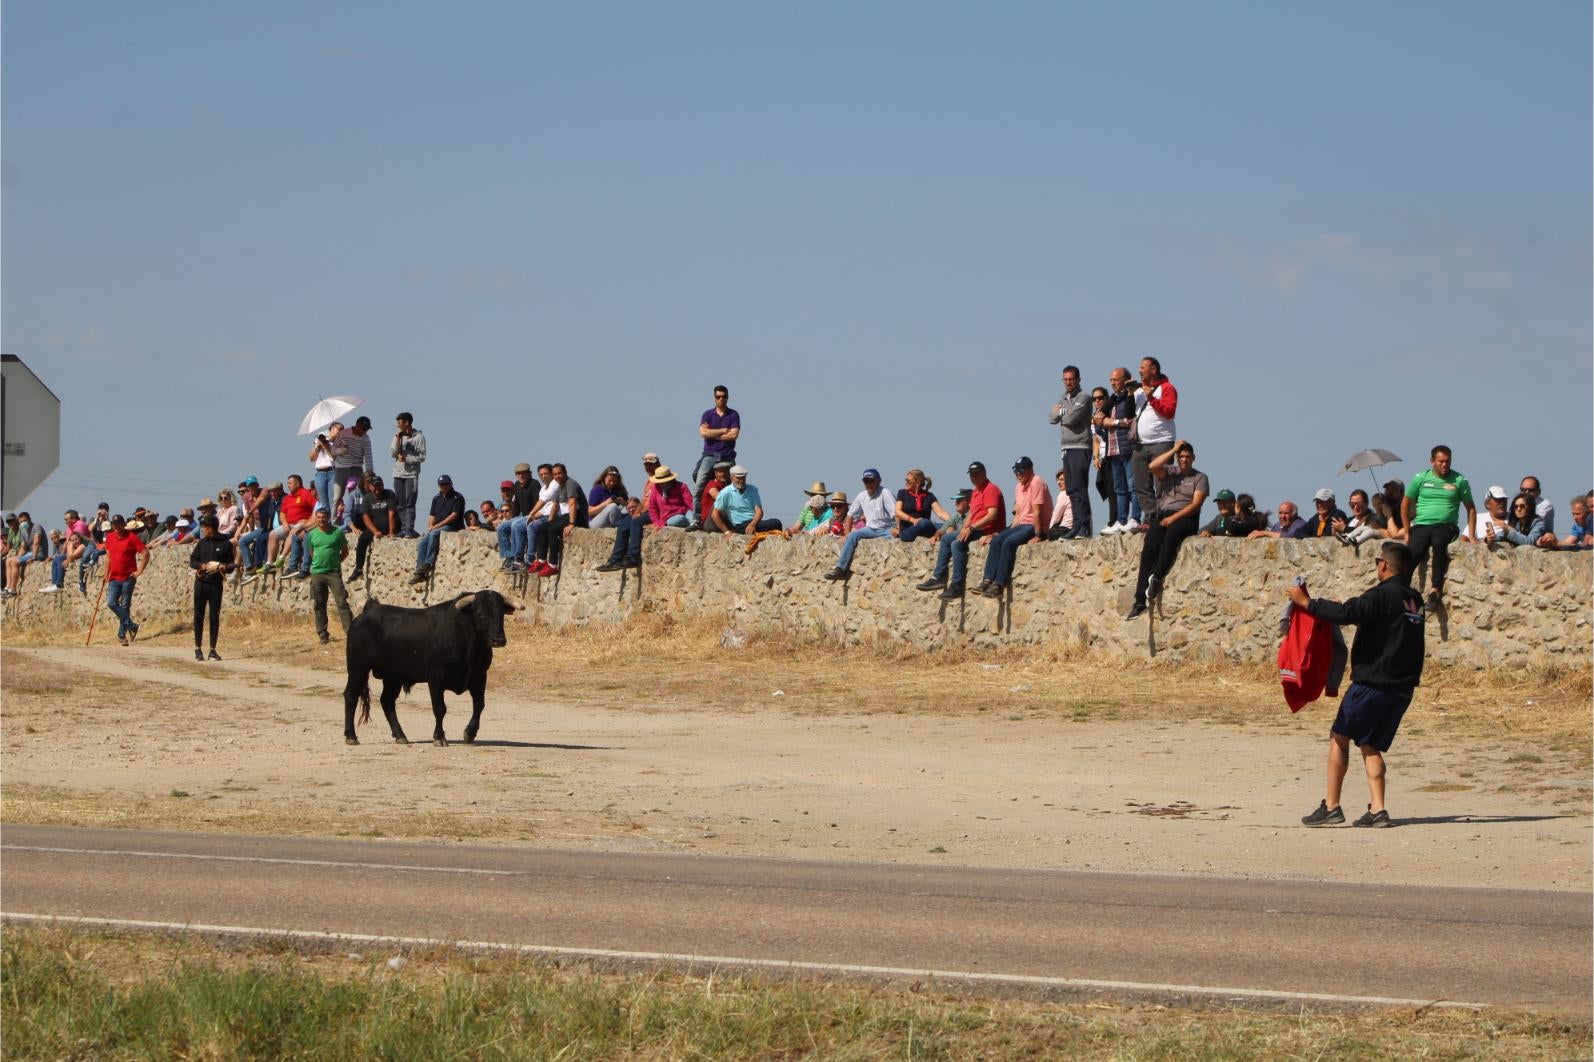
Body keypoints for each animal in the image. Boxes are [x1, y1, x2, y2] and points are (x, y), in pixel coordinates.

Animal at [342, 586, 516, 743]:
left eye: (501, 614)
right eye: (480, 613)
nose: (499, 640)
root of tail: (368, 612)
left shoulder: (479, 677)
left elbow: (479, 705)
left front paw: (470, 733)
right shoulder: (436, 679)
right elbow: (440, 708)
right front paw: (439, 737)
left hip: (393, 676)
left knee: (387, 701)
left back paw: (400, 735)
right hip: (358, 668)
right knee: (351, 695)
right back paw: (351, 736)